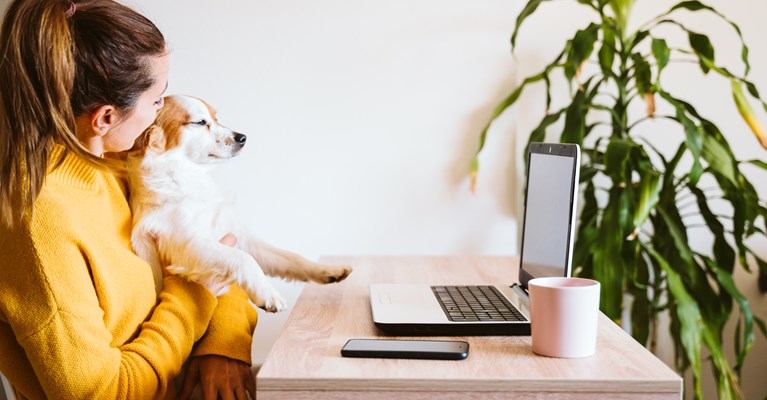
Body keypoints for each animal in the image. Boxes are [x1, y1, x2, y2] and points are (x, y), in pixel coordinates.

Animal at [127, 94, 354, 312]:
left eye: (216, 118)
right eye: (200, 122)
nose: (242, 137)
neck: (189, 180)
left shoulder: (241, 237)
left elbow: (290, 257)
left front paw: (327, 270)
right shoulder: (188, 243)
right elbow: (243, 259)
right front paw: (267, 293)